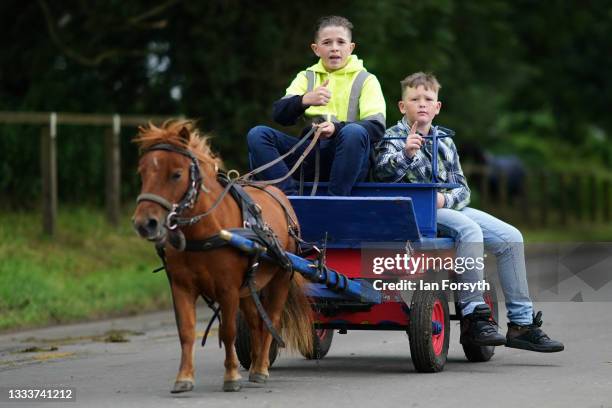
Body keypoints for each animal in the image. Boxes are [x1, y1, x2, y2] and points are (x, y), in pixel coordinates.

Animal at [132, 120, 314, 392]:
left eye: (176, 174)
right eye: (143, 173)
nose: (145, 223)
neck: (204, 232)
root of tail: (280, 194)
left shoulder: (228, 288)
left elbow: (227, 331)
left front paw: (231, 377)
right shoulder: (182, 286)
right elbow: (186, 331)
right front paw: (184, 377)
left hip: (281, 276)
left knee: (271, 318)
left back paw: (261, 369)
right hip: (251, 285)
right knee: (255, 321)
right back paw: (257, 364)